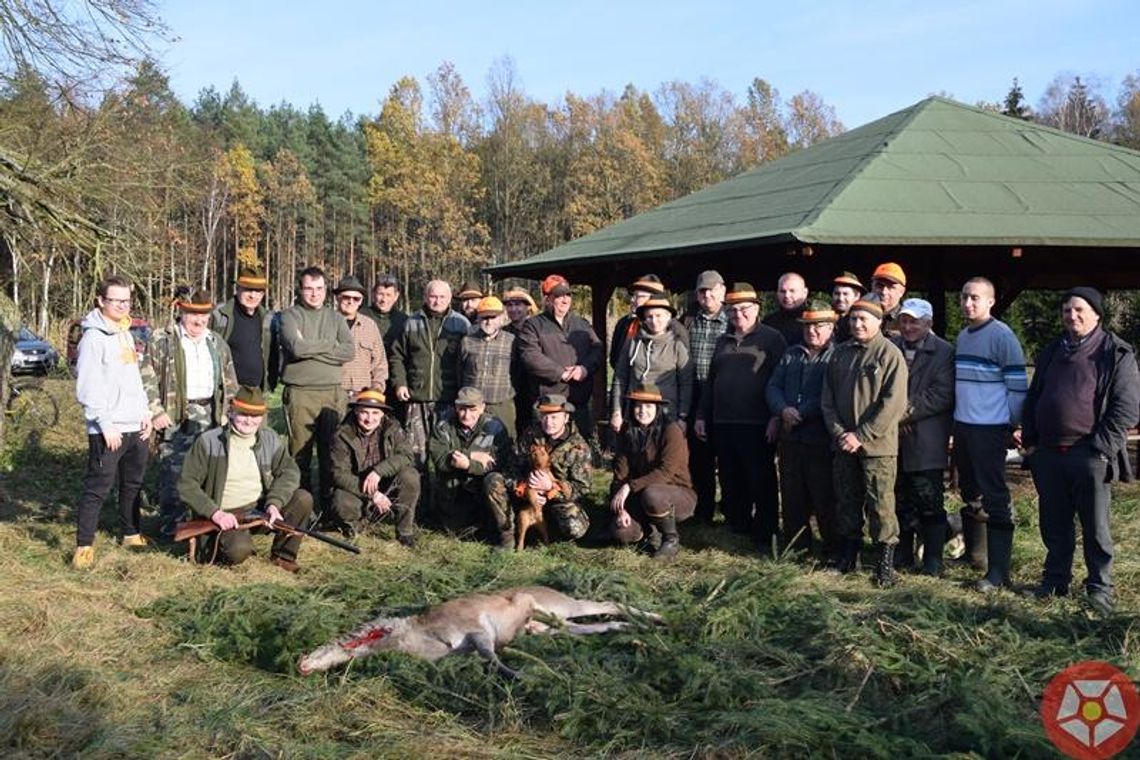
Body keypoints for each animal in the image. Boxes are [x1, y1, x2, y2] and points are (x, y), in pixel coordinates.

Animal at [298, 583, 665, 679]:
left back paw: (658, 618)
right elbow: (488, 657)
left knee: (607, 602)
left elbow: (491, 656)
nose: (303, 663)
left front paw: (522, 675)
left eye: (339, 645)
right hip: (551, 628)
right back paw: (644, 632)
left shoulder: (476, 629)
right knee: (601, 623)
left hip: (559, 605)